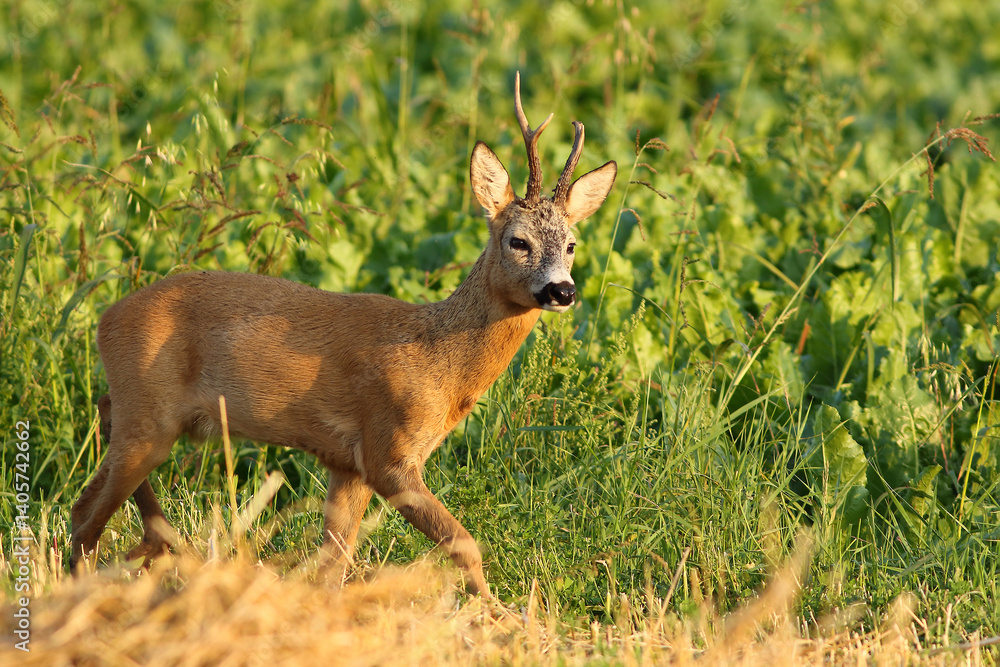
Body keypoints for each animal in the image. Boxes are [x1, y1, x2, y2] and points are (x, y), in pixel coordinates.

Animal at [70, 73, 617, 597]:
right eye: (518, 241)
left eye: (571, 244)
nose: (563, 290)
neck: (439, 363)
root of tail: (105, 318)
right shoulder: (386, 451)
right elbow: (463, 543)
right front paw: (498, 614)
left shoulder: (348, 464)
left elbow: (334, 562)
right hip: (149, 414)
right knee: (84, 511)